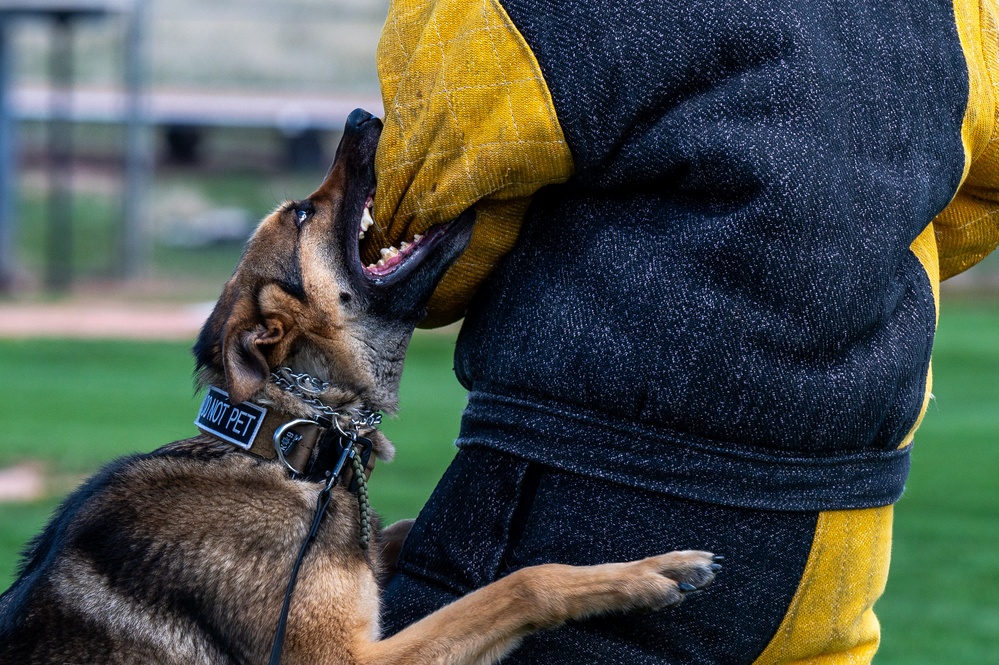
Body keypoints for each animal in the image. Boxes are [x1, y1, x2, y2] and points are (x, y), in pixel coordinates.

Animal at [0, 111, 720, 660]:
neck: (286, 442)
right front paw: (647, 573)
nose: (358, 116)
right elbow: (519, 584)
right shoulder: (354, 657)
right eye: (300, 213)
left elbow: (395, 530)